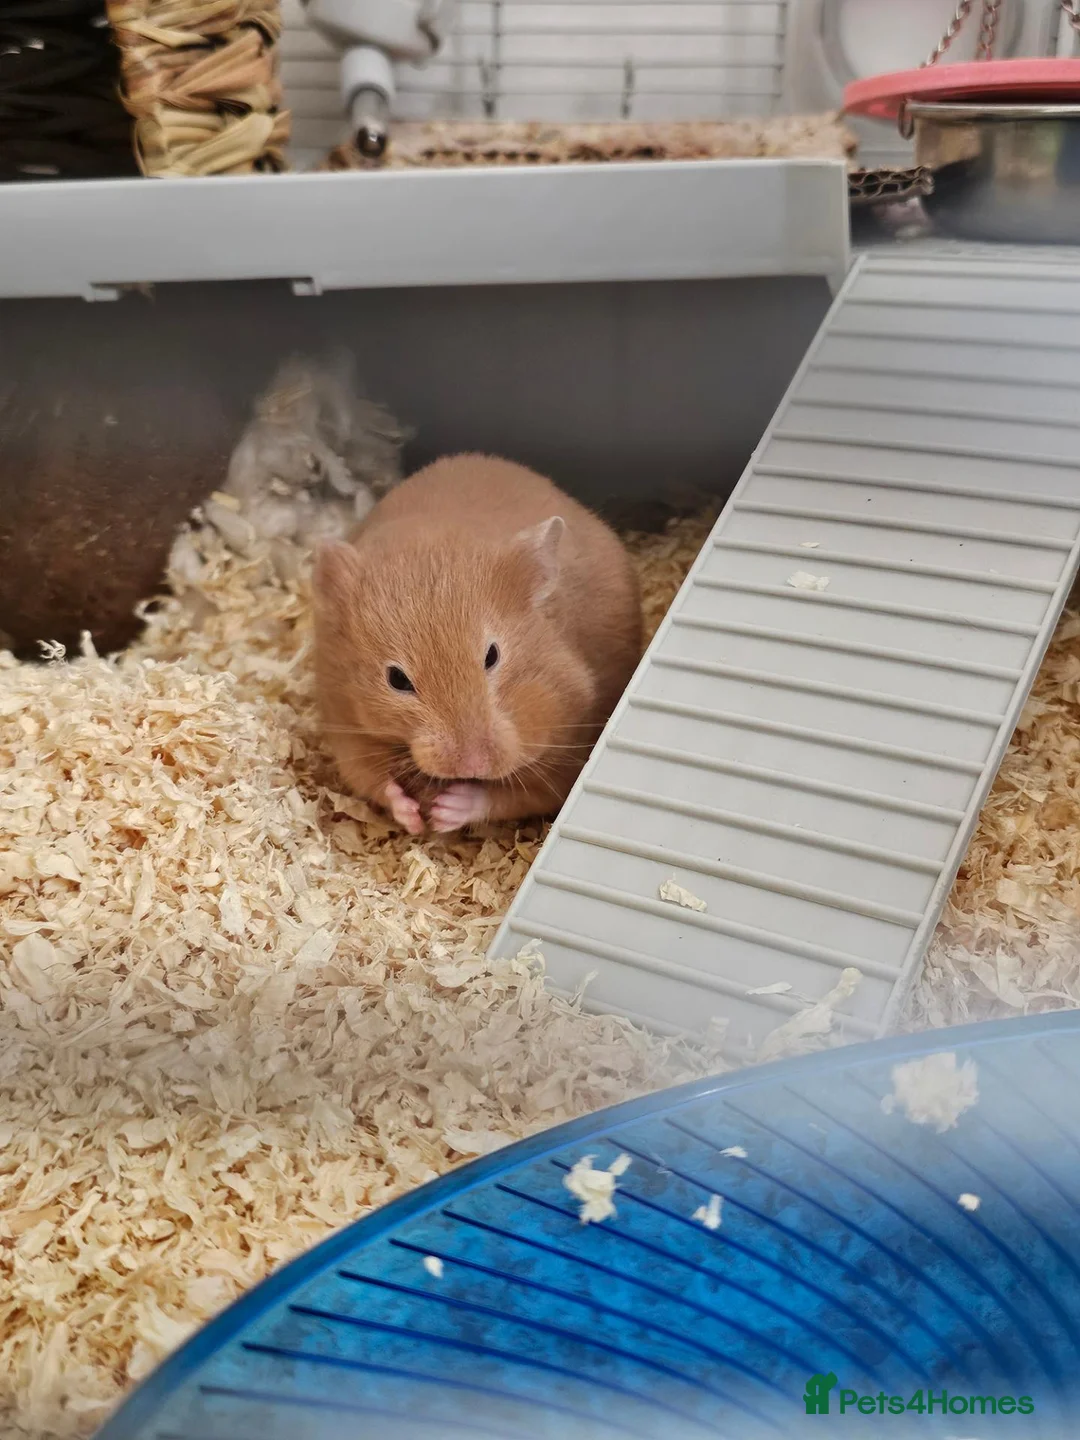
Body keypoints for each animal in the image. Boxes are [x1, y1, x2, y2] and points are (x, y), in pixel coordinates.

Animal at [313, 453, 643, 835]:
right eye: (396, 679)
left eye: (492, 656)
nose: (472, 764)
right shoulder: (345, 729)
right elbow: (375, 781)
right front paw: (414, 818)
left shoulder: (566, 753)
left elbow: (508, 796)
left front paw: (445, 811)